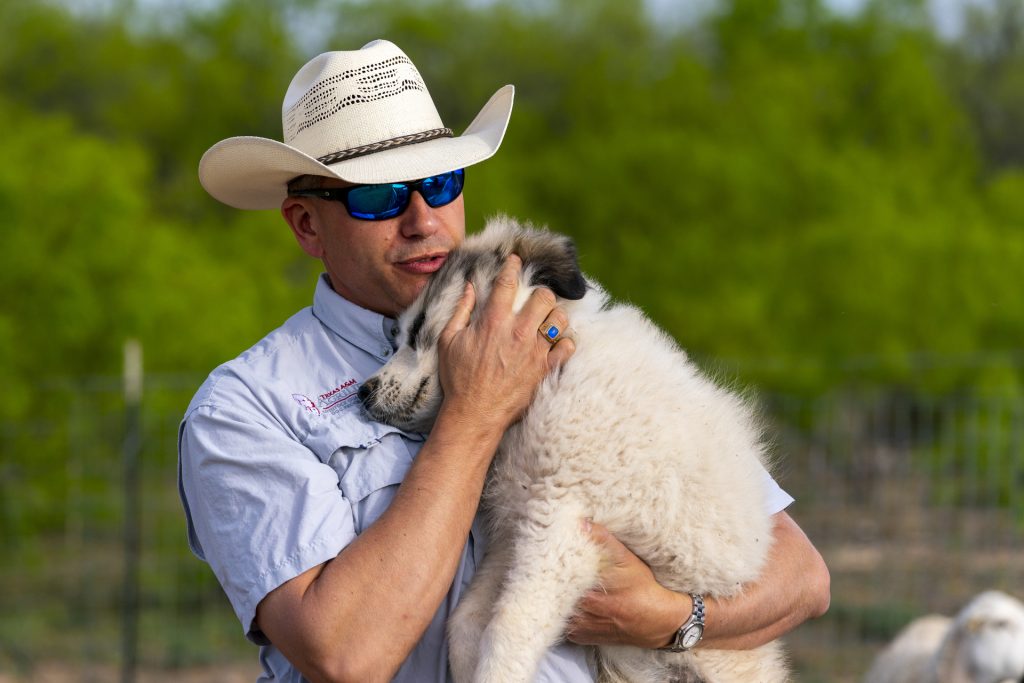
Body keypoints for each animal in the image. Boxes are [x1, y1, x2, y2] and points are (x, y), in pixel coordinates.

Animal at [364, 218, 786, 683]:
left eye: (419, 328)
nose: (363, 393)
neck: (544, 381)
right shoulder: (517, 533)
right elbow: (468, 623)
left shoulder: (560, 526)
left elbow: (509, 628)